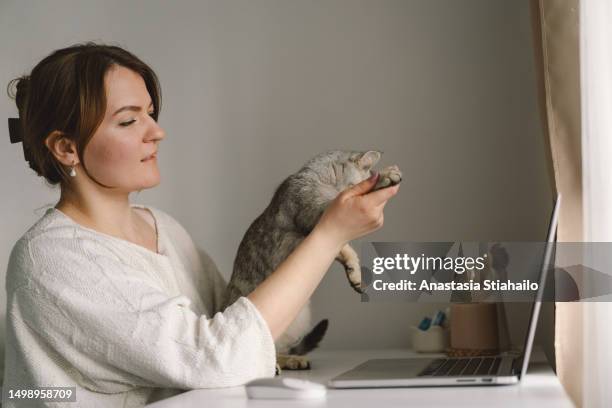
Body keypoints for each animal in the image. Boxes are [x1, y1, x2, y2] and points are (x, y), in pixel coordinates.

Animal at [224, 151, 402, 372]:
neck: (319, 177)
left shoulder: (326, 238)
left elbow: (346, 251)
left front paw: (355, 273)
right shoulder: (316, 210)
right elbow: (359, 195)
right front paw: (385, 176)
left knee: (277, 349)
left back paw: (291, 360)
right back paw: (276, 366)